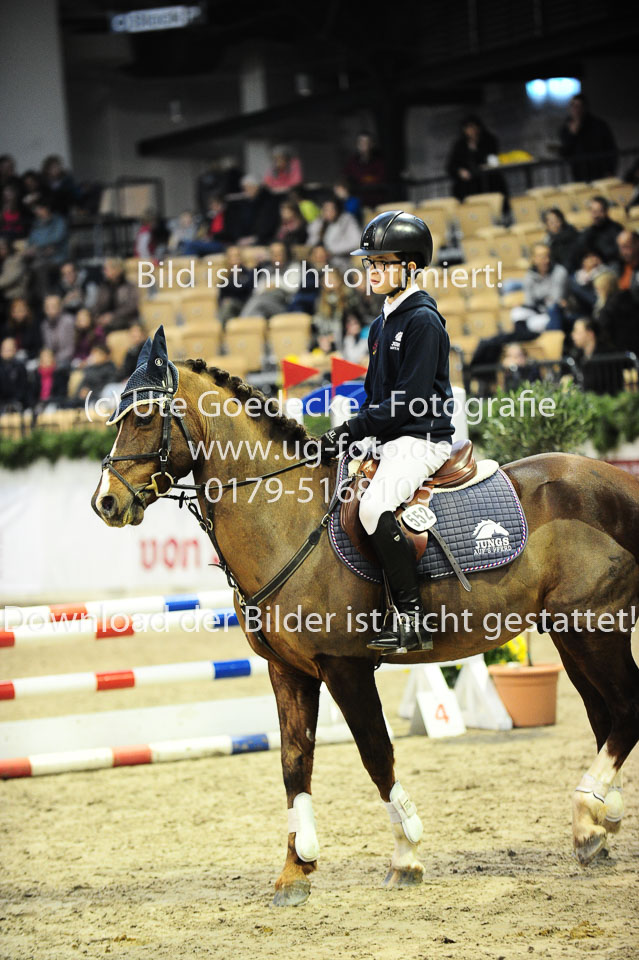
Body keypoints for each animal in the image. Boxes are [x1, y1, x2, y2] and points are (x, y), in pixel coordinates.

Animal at [92, 352, 639, 907]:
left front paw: (406, 855)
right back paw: (602, 821)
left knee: (625, 710)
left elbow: (376, 753)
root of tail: (619, 482)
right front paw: (295, 871)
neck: (283, 515)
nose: (106, 503)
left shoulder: (344, 666)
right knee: (604, 717)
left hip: (595, 629)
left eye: (143, 418)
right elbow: (294, 762)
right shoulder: (288, 670)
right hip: (571, 635)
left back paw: (587, 817)